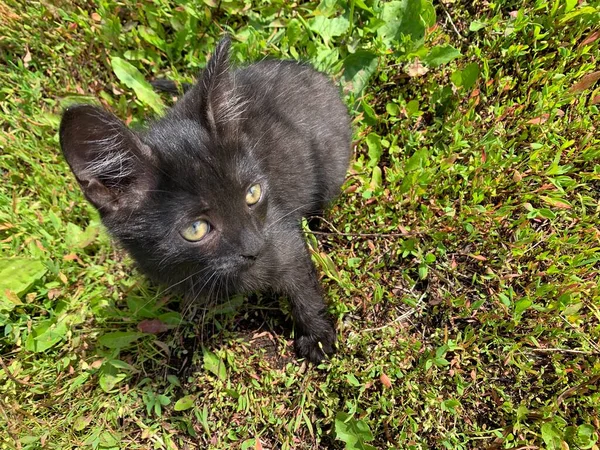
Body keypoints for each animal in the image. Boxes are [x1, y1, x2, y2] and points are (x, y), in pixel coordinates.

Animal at [59, 37, 352, 362]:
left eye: (253, 193)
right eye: (196, 228)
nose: (256, 247)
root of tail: (309, 70)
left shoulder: (282, 235)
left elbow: (302, 283)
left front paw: (317, 336)